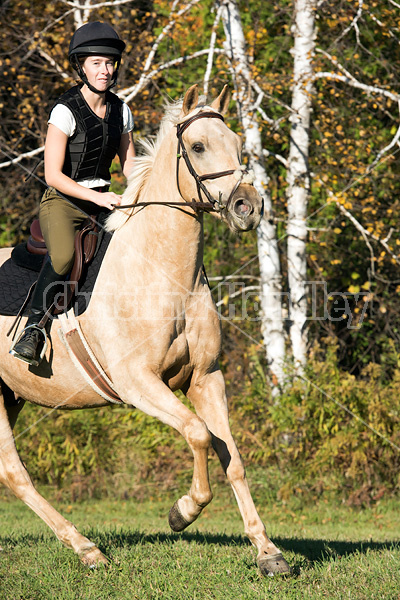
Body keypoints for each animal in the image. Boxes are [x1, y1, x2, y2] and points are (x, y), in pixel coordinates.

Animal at [0, 85, 290, 576]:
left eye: (237, 143)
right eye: (198, 146)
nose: (247, 207)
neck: (164, 272)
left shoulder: (206, 378)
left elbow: (232, 459)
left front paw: (267, 552)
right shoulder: (138, 383)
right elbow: (198, 434)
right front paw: (183, 512)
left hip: (10, 395)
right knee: (14, 473)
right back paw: (88, 549)